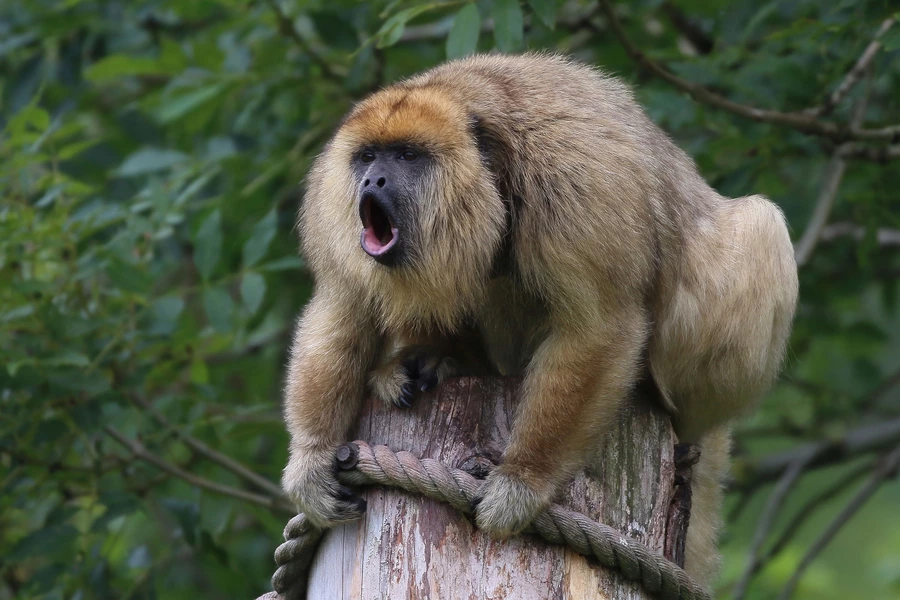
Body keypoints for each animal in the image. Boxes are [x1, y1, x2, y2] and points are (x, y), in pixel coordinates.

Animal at [281, 53, 798, 588]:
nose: (371, 182)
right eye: (367, 158)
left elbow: (598, 324)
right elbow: (341, 306)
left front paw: (523, 481)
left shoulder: (577, 182)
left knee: (760, 225)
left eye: (407, 157)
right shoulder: (327, 202)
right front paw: (312, 459)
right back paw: (440, 357)